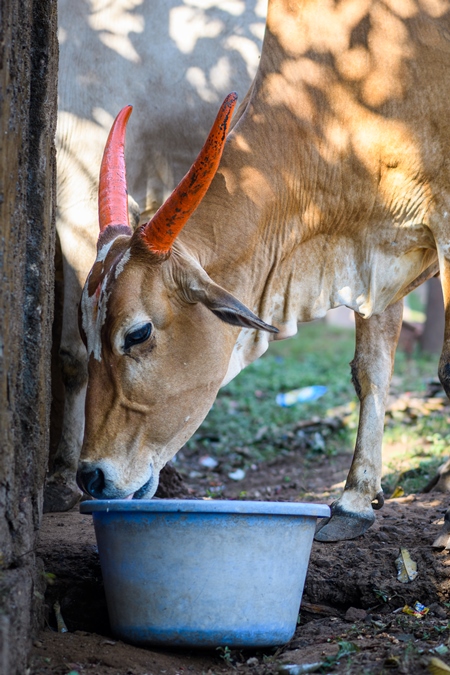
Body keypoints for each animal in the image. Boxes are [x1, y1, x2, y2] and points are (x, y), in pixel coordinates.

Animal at [75, 0, 450, 544]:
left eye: (138, 333)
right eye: (85, 334)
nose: (90, 476)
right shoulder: (374, 255)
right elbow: (370, 371)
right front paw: (355, 502)